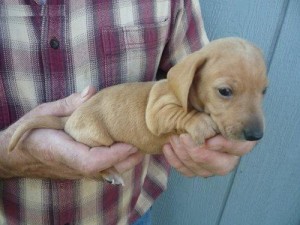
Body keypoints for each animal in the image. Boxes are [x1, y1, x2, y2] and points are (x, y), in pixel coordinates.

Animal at [8, 37, 268, 185]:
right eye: (224, 91)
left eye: (264, 90)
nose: (256, 136)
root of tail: (70, 118)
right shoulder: (157, 111)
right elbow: (181, 114)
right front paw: (200, 122)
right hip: (95, 139)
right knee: (93, 170)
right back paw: (110, 173)